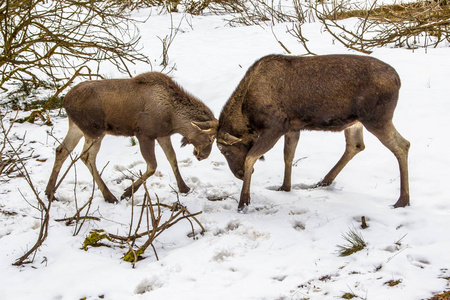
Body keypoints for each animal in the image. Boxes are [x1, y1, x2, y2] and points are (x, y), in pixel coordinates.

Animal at [46, 72, 219, 203]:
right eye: (210, 139)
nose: (203, 156)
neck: (174, 120)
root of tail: (65, 101)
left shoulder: (162, 135)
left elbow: (172, 158)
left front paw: (184, 188)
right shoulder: (144, 134)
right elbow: (152, 166)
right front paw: (127, 192)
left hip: (77, 128)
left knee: (62, 150)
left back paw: (50, 193)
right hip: (95, 131)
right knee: (87, 156)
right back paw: (109, 196)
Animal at [216, 55, 410, 212]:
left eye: (224, 150)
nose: (239, 174)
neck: (247, 114)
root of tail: (398, 79)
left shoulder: (275, 127)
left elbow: (250, 157)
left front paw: (244, 201)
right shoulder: (292, 128)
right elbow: (288, 156)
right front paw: (285, 187)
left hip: (377, 117)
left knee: (403, 145)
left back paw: (402, 200)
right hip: (356, 122)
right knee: (355, 145)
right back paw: (324, 181)